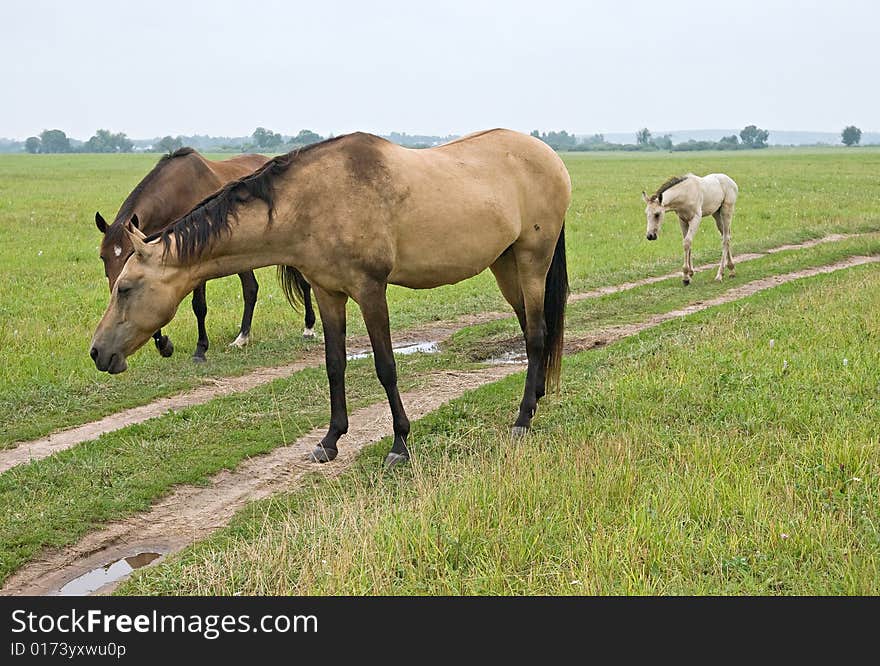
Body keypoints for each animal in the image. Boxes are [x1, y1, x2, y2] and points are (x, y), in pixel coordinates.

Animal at [95, 148, 316, 360]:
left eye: (129, 253)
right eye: (103, 257)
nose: (116, 290)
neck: (177, 193)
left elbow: (199, 306)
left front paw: (200, 348)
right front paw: (163, 343)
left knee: (302, 283)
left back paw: (308, 327)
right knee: (251, 289)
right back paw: (242, 337)